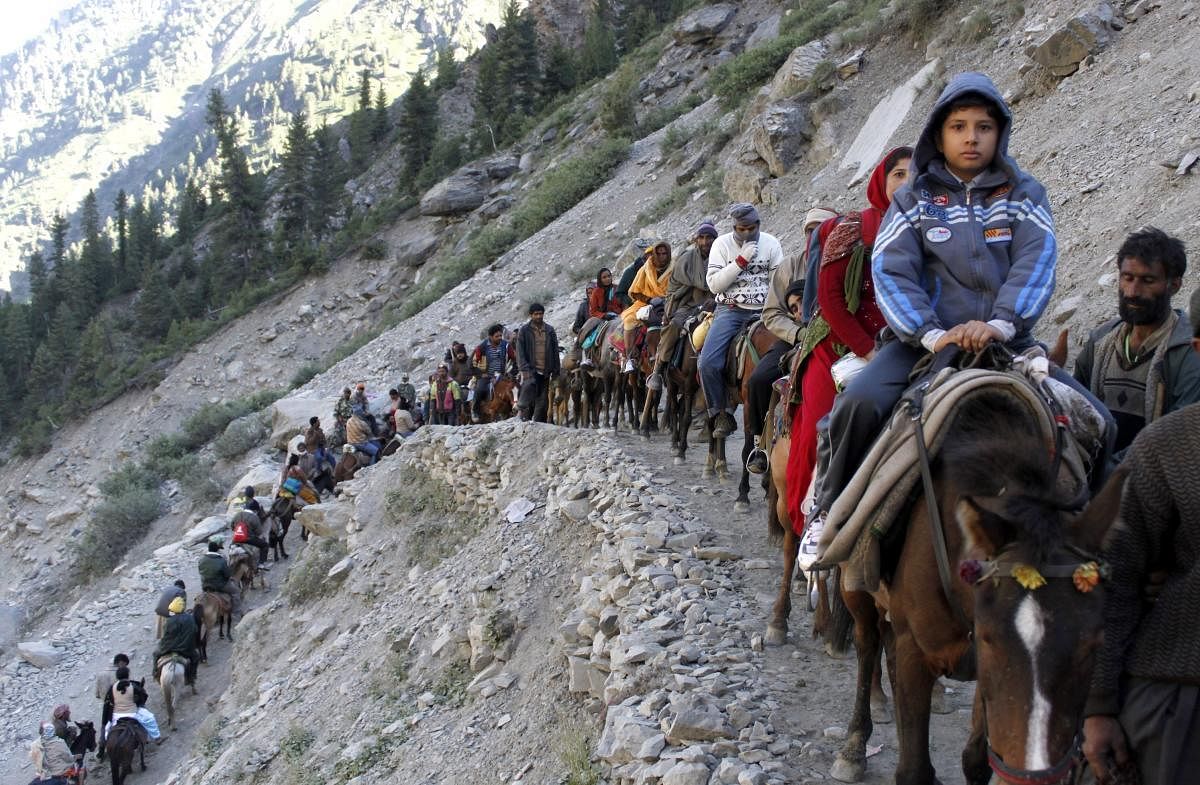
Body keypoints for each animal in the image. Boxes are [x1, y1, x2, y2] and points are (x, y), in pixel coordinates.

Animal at [825, 391, 1123, 782]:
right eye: (988, 637)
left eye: (1094, 644)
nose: (1034, 771)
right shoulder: (916, 651)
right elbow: (914, 769)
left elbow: (976, 759)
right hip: (855, 587)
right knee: (868, 643)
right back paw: (854, 746)